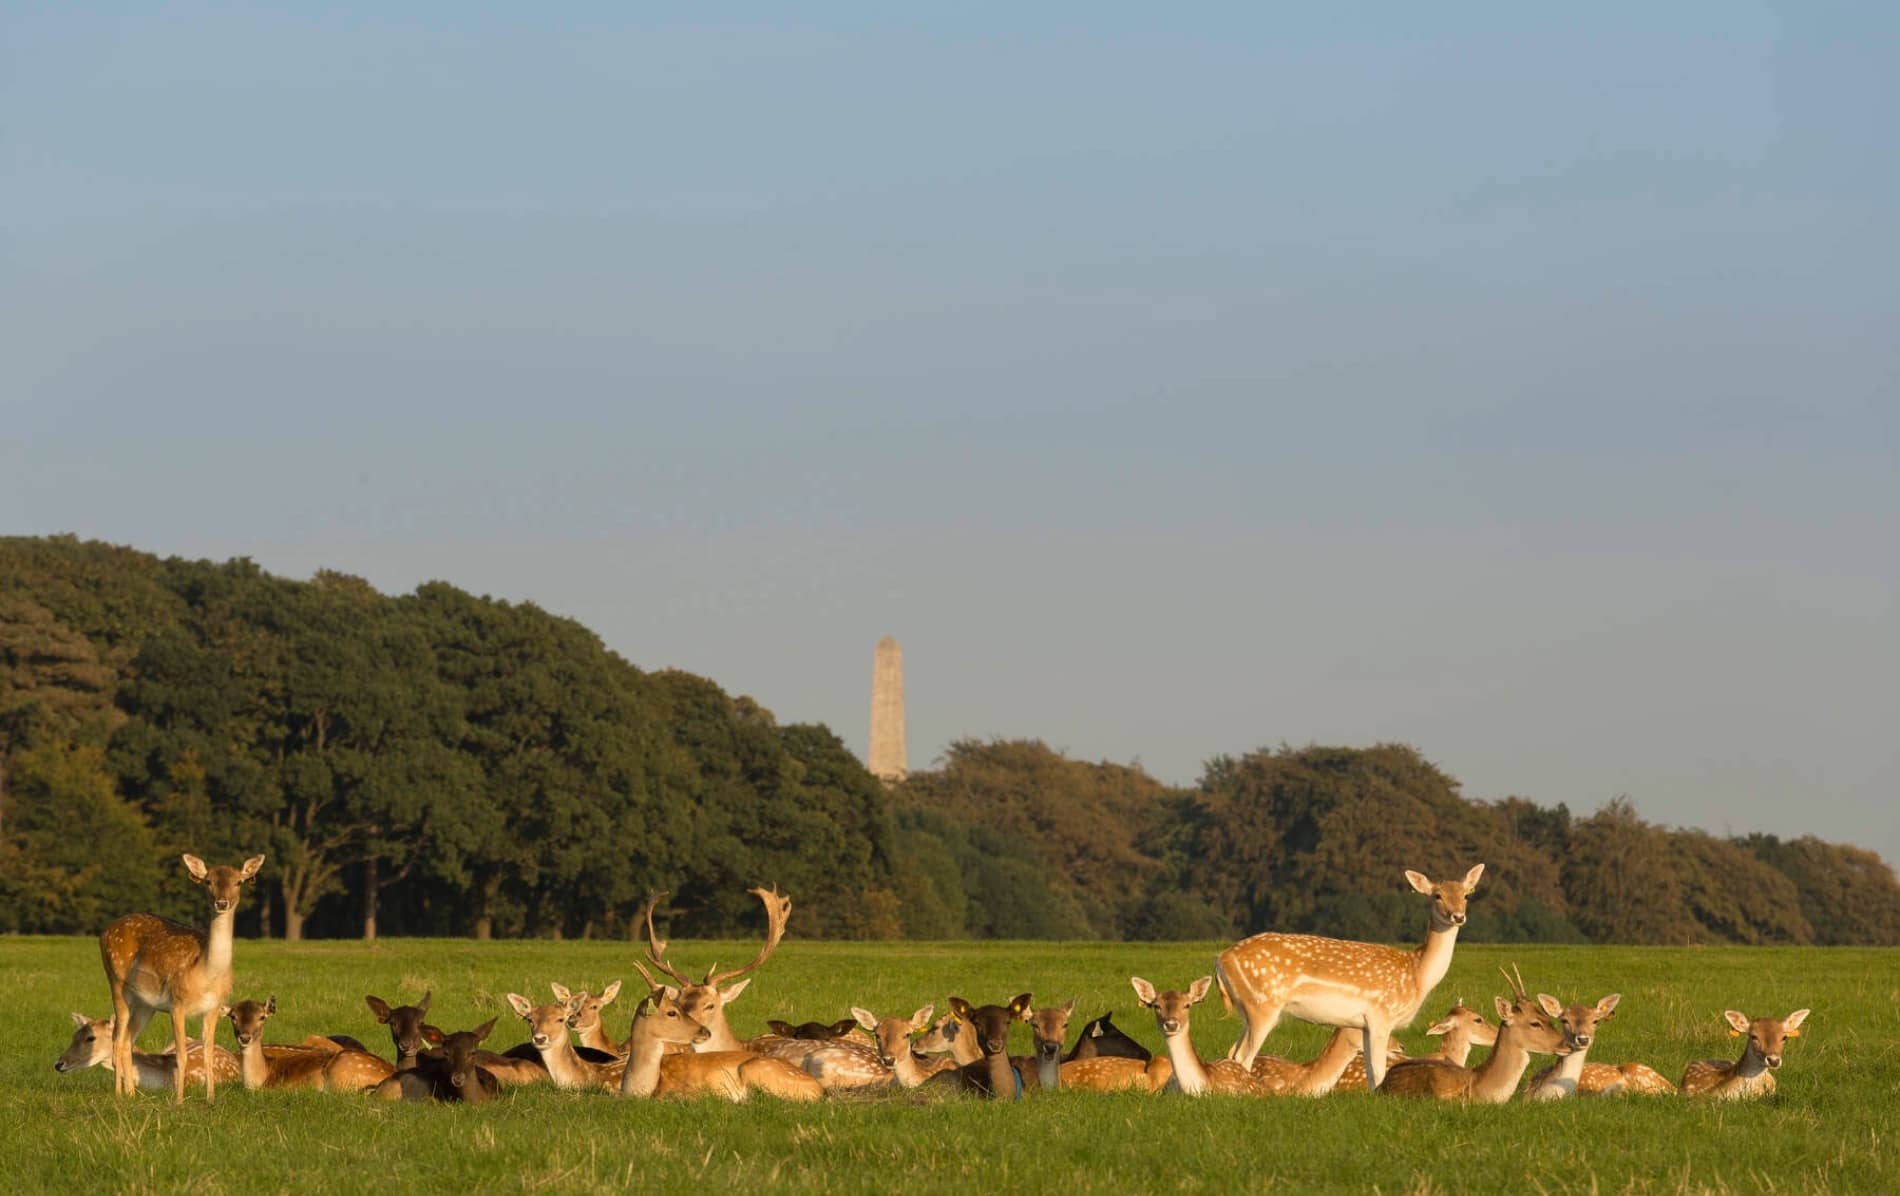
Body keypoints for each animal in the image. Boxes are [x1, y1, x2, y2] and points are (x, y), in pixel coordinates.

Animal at [97, 852, 264, 1102]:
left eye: (238, 882)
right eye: (208, 881)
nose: (221, 903)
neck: (206, 974)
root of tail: (104, 931)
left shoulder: (214, 1007)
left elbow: (208, 1053)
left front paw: (210, 1099)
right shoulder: (177, 1004)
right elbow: (181, 1056)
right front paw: (178, 1101)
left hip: (146, 1004)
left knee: (127, 1040)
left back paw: (132, 1094)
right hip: (116, 982)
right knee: (117, 1039)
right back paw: (119, 1094)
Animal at [1216, 862, 1483, 1090]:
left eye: (1466, 895)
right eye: (1437, 895)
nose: (1458, 916)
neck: (1417, 974)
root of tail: (1221, 961)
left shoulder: (1363, 1024)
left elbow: (1371, 1072)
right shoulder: (1381, 1015)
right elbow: (1378, 1069)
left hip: (1247, 1010)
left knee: (1232, 1053)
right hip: (1263, 1005)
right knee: (1243, 1055)